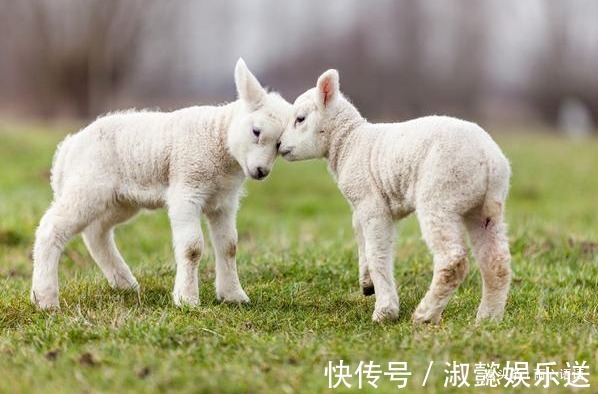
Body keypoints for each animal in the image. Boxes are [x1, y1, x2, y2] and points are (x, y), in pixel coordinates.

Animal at [31, 59, 292, 310]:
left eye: (279, 145)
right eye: (256, 131)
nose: (261, 172)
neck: (218, 138)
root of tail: (67, 147)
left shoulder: (224, 202)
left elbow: (229, 246)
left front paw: (233, 296)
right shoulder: (186, 190)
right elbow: (192, 248)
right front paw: (187, 299)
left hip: (120, 200)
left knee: (96, 233)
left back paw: (125, 284)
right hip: (87, 185)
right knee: (51, 228)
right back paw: (45, 299)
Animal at [278, 70, 512, 324]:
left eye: (300, 119)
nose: (278, 144)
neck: (349, 142)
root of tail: (489, 158)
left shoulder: (372, 204)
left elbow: (377, 253)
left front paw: (385, 310)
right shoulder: (361, 205)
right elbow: (360, 237)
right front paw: (367, 283)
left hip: (441, 195)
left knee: (453, 261)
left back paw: (424, 315)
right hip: (481, 209)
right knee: (496, 262)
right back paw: (487, 318)